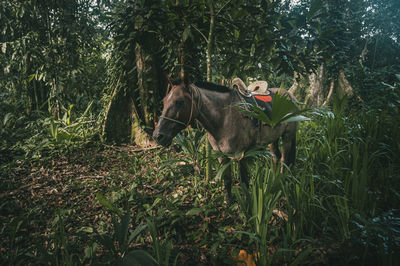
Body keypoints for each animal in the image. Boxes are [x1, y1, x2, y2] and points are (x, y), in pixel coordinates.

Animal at [153, 79, 296, 202]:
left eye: (179, 102)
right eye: (164, 101)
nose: (157, 136)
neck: (224, 118)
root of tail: (290, 95)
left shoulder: (242, 155)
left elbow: (244, 181)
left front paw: (246, 204)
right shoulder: (221, 154)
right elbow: (227, 179)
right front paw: (228, 202)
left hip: (288, 136)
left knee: (284, 159)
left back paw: (282, 183)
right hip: (273, 138)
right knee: (276, 157)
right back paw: (275, 180)